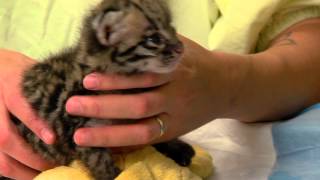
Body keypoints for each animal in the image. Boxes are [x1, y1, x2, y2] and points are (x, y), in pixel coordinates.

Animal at [5, 0, 195, 180]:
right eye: (154, 39)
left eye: (172, 28)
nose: (181, 48)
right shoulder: (83, 133)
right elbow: (101, 163)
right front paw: (116, 175)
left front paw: (176, 147)